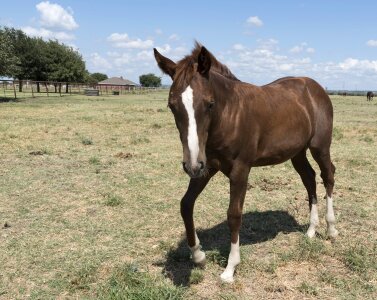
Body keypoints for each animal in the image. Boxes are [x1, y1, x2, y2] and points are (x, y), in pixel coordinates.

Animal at [153, 43, 338, 282]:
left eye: (209, 104)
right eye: (171, 106)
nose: (191, 166)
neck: (229, 115)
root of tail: (316, 87)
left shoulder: (240, 169)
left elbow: (234, 214)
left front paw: (230, 269)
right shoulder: (207, 166)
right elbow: (186, 204)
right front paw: (198, 255)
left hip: (320, 147)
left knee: (328, 176)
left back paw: (331, 229)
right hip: (297, 152)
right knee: (309, 178)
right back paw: (311, 230)